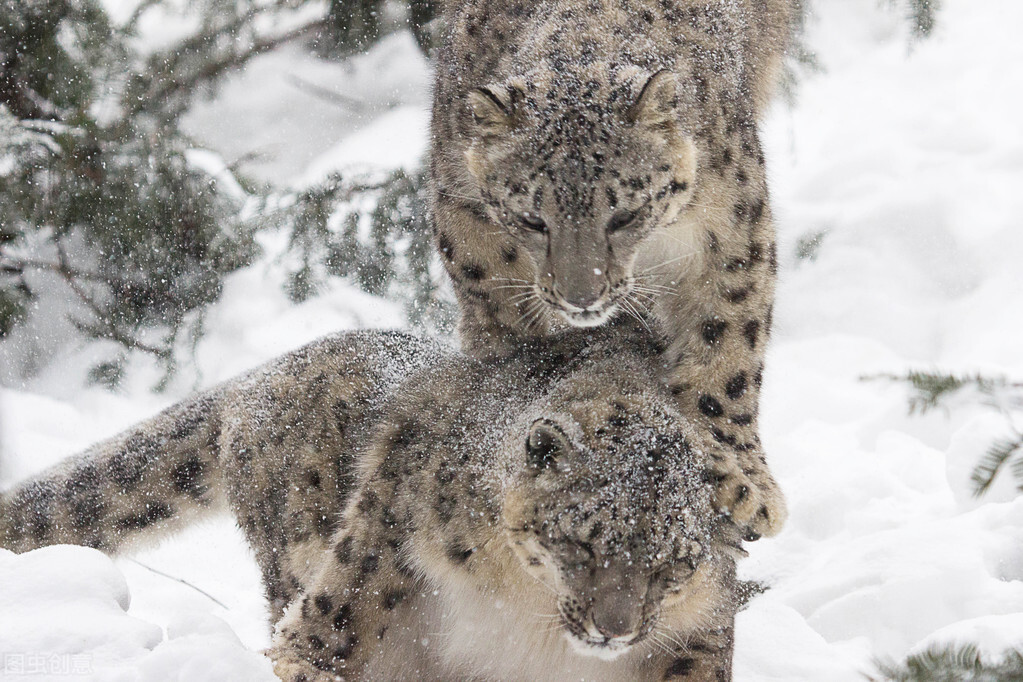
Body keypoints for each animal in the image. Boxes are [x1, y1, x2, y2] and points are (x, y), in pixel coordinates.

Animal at [0, 321, 744, 682]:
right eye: (581, 541)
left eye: (675, 564)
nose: (615, 629)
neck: (529, 616)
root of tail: (255, 381)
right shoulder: (386, 533)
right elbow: (332, 623)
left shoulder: (697, 629)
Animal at [429, 0, 789, 543]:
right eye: (532, 218)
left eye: (625, 214)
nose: (582, 297)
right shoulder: (460, 201)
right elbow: (499, 298)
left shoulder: (731, 228)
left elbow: (726, 342)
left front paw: (739, 477)